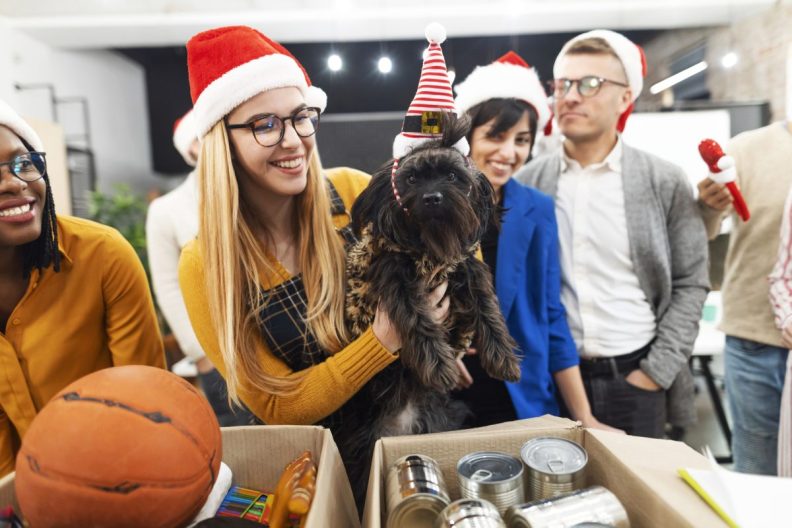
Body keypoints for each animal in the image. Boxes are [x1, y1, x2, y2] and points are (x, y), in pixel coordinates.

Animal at [338, 114, 524, 508]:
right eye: (411, 179)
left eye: (453, 176)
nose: (432, 197)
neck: (429, 246)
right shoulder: (396, 278)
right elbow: (418, 321)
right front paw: (439, 366)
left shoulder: (463, 268)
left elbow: (487, 305)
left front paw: (502, 358)